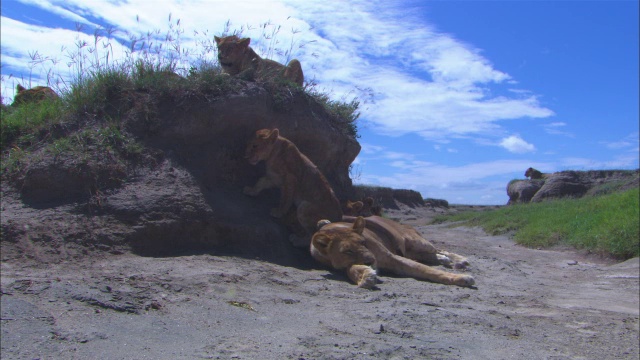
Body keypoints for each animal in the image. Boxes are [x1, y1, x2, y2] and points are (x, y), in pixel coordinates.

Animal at [312, 215, 476, 288]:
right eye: (348, 251)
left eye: (363, 242)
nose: (371, 260)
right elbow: (350, 268)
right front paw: (365, 275)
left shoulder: (392, 257)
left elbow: (427, 270)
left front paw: (462, 278)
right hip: (413, 251)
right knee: (432, 255)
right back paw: (444, 259)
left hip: (418, 242)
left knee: (439, 249)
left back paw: (459, 260)